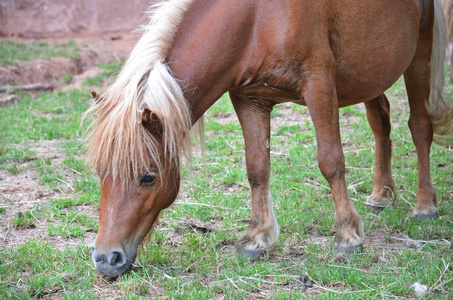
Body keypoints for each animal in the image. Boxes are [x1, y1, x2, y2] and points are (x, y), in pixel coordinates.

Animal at [85, 0, 452, 278]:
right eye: (100, 173)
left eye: (148, 177)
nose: (106, 259)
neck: (257, 17)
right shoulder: (249, 99)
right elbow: (257, 168)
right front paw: (258, 238)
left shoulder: (319, 85)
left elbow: (331, 161)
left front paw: (348, 236)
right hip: (370, 71)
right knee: (380, 121)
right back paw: (382, 193)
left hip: (419, 52)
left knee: (420, 127)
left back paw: (425, 204)